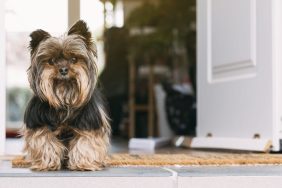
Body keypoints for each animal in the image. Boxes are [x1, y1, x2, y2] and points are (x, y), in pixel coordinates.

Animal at [22, 19, 110, 171]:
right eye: (51, 61)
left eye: (74, 59)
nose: (63, 69)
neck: (65, 94)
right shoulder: (39, 123)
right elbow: (45, 141)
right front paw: (48, 163)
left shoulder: (88, 124)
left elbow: (84, 143)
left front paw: (83, 164)